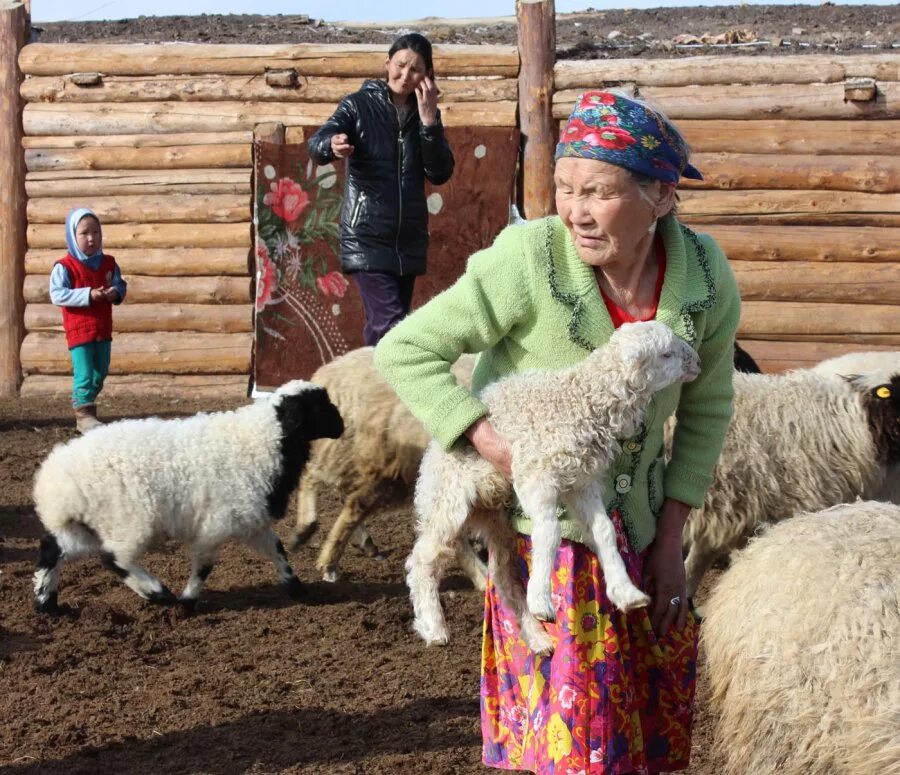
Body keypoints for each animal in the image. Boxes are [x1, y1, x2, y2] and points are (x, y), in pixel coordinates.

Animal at [30, 378, 342, 616]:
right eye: (320, 406)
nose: (342, 426)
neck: (264, 440)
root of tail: (54, 481)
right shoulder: (214, 524)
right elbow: (204, 567)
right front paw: (187, 603)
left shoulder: (252, 520)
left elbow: (277, 550)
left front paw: (297, 588)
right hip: (127, 518)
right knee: (114, 558)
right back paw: (157, 593)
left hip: (87, 524)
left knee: (52, 549)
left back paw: (46, 603)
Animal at [408, 318, 704, 652]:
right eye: (666, 354)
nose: (698, 363)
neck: (579, 402)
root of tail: (432, 451)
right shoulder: (536, 475)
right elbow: (549, 532)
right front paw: (541, 601)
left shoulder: (582, 483)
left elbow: (605, 531)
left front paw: (626, 593)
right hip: (450, 496)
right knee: (423, 558)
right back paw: (434, 625)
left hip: (495, 515)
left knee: (502, 574)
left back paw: (536, 637)